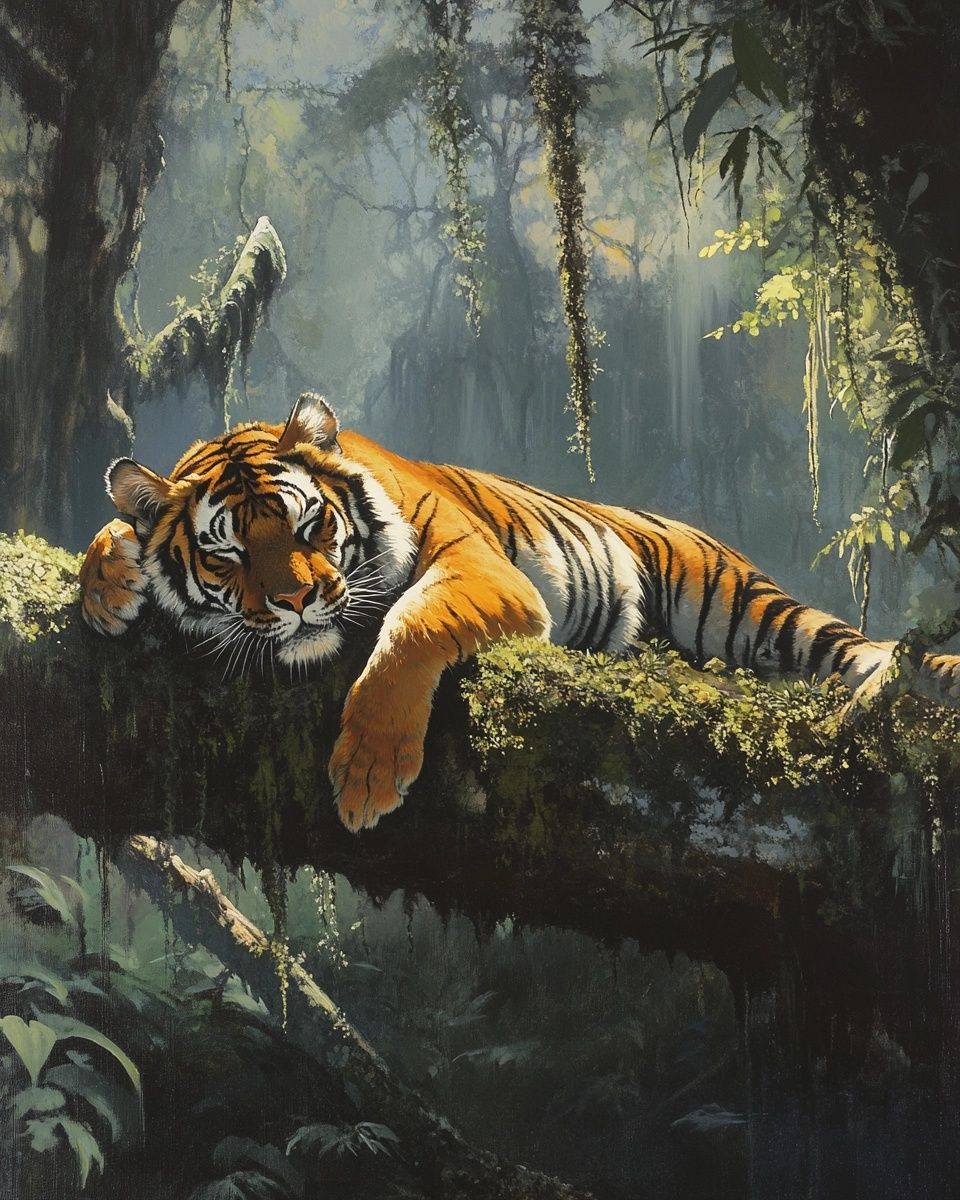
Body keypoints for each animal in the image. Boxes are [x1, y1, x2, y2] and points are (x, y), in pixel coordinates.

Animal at [79, 391, 960, 830]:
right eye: (226, 554)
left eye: (308, 526)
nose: (296, 601)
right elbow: (115, 528)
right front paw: (108, 585)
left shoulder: (478, 568)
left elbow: (409, 628)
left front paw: (368, 774)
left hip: (748, 604)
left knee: (855, 650)